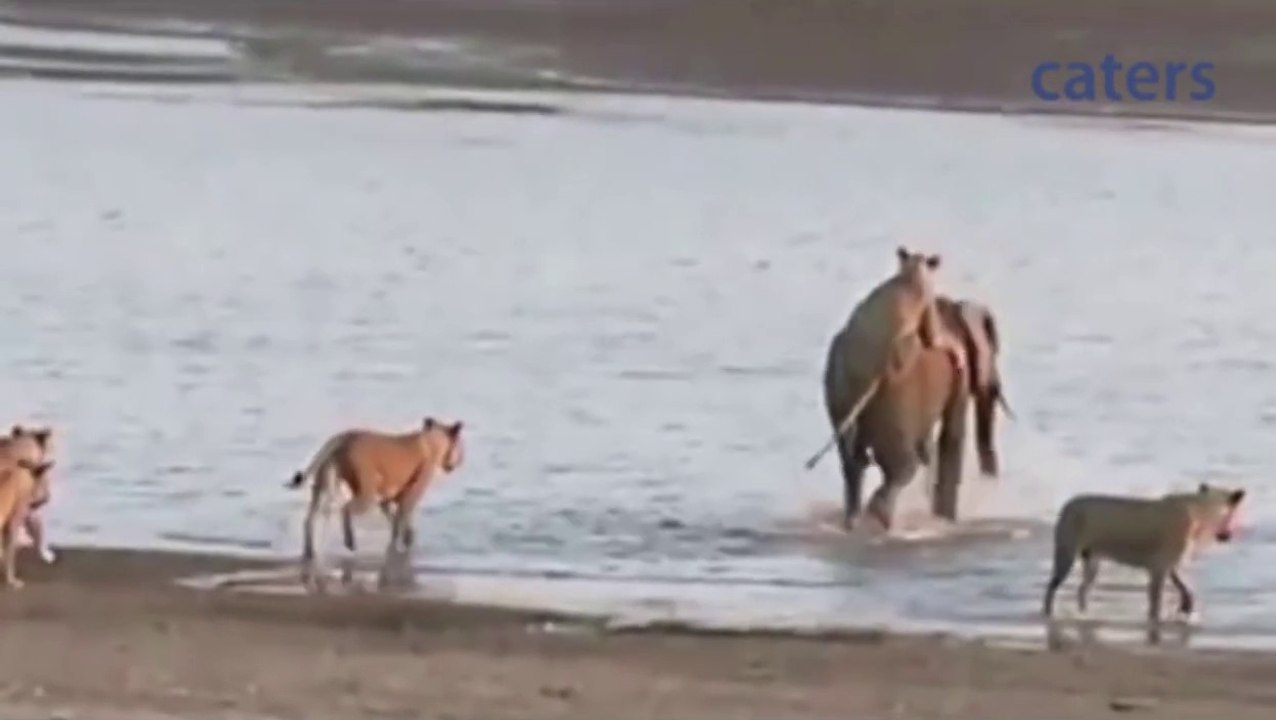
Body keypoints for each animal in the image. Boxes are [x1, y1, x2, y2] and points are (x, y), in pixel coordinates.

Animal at [287, 417, 465, 564]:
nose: (459, 462)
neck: (434, 440)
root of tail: (344, 437)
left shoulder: (386, 499)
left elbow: (396, 522)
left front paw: (401, 542)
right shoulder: (409, 497)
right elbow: (402, 521)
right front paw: (402, 545)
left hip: (322, 488)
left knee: (309, 520)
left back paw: (309, 553)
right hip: (366, 493)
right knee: (345, 508)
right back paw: (350, 542)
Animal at [806, 246, 965, 470]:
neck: (910, 272)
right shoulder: (927, 299)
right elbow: (933, 337)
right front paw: (957, 351)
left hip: (842, 377)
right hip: (900, 351)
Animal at [820, 295, 1010, 530]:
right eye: (996, 350)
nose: (991, 481)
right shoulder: (959, 371)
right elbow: (952, 436)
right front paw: (946, 521)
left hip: (838, 395)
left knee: (853, 462)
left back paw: (853, 522)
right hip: (896, 399)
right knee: (902, 463)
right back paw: (879, 517)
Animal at [1042, 483, 1246, 624]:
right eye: (1233, 515)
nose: (1226, 536)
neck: (1203, 510)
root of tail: (1066, 506)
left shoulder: (1167, 564)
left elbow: (1182, 585)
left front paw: (1186, 607)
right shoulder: (1159, 567)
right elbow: (1156, 601)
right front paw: (1157, 620)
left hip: (1091, 558)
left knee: (1082, 589)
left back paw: (1083, 613)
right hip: (1066, 552)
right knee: (1052, 586)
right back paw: (1048, 613)